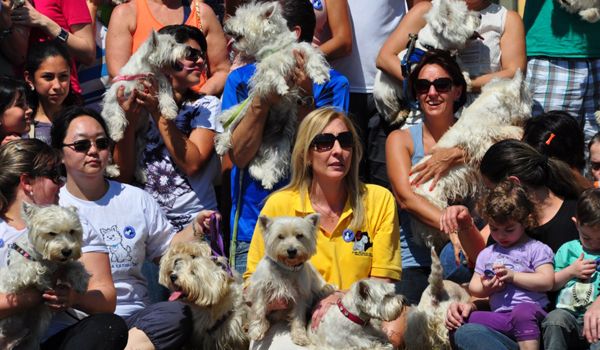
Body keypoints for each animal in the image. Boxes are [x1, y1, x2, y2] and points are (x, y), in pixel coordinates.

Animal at [0, 202, 90, 350]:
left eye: (72, 231)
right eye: (51, 233)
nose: (67, 251)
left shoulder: (62, 264)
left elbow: (74, 265)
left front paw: (81, 281)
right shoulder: (13, 277)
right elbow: (32, 268)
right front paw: (43, 278)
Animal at [101, 31, 190, 183]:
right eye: (172, 45)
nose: (188, 49)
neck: (146, 70)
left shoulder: (160, 81)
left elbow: (166, 95)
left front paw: (169, 112)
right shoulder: (114, 96)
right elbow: (117, 114)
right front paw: (117, 133)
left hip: (140, 139)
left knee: (137, 158)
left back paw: (140, 174)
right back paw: (112, 170)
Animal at [214, 1, 330, 190]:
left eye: (241, 17)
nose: (225, 24)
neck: (276, 47)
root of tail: (263, 146)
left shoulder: (301, 51)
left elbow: (313, 60)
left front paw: (320, 76)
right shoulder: (266, 68)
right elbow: (273, 75)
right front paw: (282, 88)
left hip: (281, 144)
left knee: (275, 163)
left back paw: (268, 181)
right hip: (243, 115)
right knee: (229, 130)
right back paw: (222, 145)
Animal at [245, 215, 336, 346]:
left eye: (300, 235)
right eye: (280, 236)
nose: (291, 251)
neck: (286, 268)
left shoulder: (300, 295)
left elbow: (298, 317)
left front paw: (299, 336)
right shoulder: (260, 288)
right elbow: (258, 309)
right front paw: (257, 330)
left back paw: (326, 289)